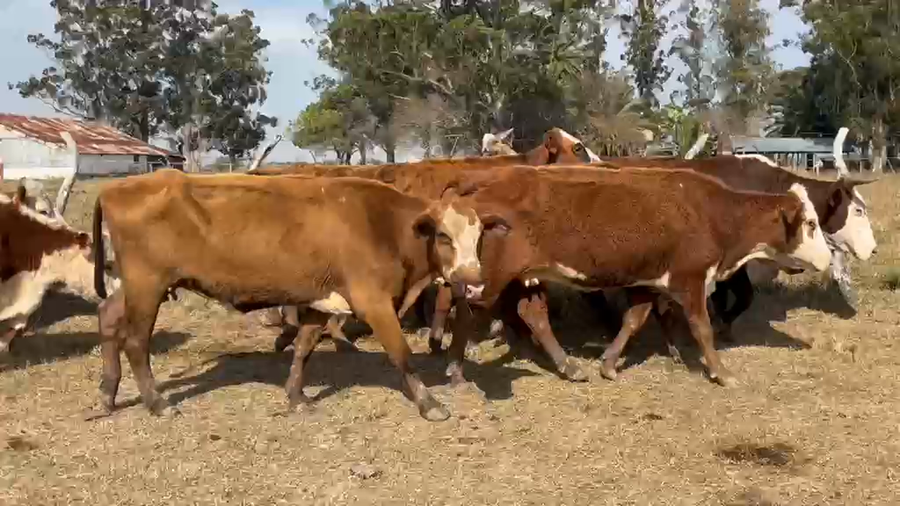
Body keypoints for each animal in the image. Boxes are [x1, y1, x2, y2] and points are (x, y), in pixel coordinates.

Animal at [91, 169, 510, 421]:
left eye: (479, 236)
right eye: (443, 236)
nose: (473, 281)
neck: (385, 224)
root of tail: (117, 186)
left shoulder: (319, 301)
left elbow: (303, 350)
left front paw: (296, 396)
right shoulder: (373, 303)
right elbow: (401, 354)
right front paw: (429, 404)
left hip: (135, 287)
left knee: (108, 318)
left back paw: (108, 393)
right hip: (147, 285)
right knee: (135, 342)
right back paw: (156, 403)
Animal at [447, 165, 832, 387]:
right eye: (811, 224)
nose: (829, 259)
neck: (713, 213)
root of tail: (483, 182)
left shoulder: (650, 283)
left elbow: (634, 319)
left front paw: (609, 364)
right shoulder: (690, 281)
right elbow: (703, 329)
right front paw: (721, 372)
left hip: (519, 278)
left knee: (531, 314)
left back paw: (567, 366)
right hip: (488, 278)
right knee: (467, 312)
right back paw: (457, 371)